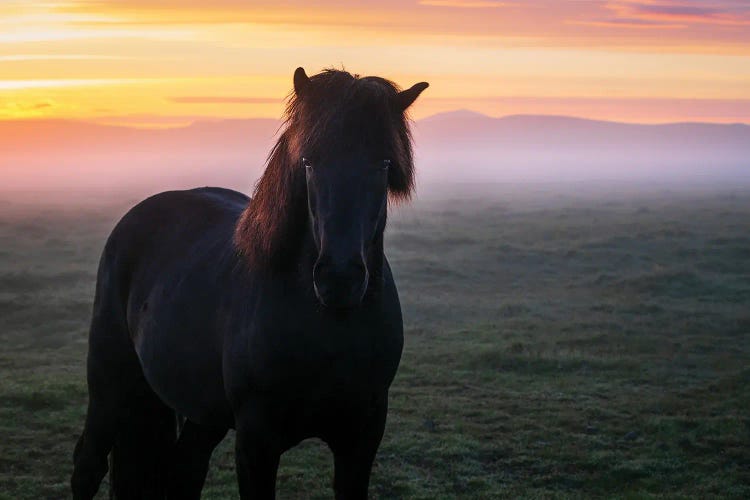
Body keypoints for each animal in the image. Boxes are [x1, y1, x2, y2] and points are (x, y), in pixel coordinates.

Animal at [73, 67, 432, 500]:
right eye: (309, 162)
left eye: (383, 164)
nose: (339, 278)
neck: (329, 329)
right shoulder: (256, 442)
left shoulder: (361, 439)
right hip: (110, 382)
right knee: (88, 465)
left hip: (202, 411)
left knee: (183, 469)